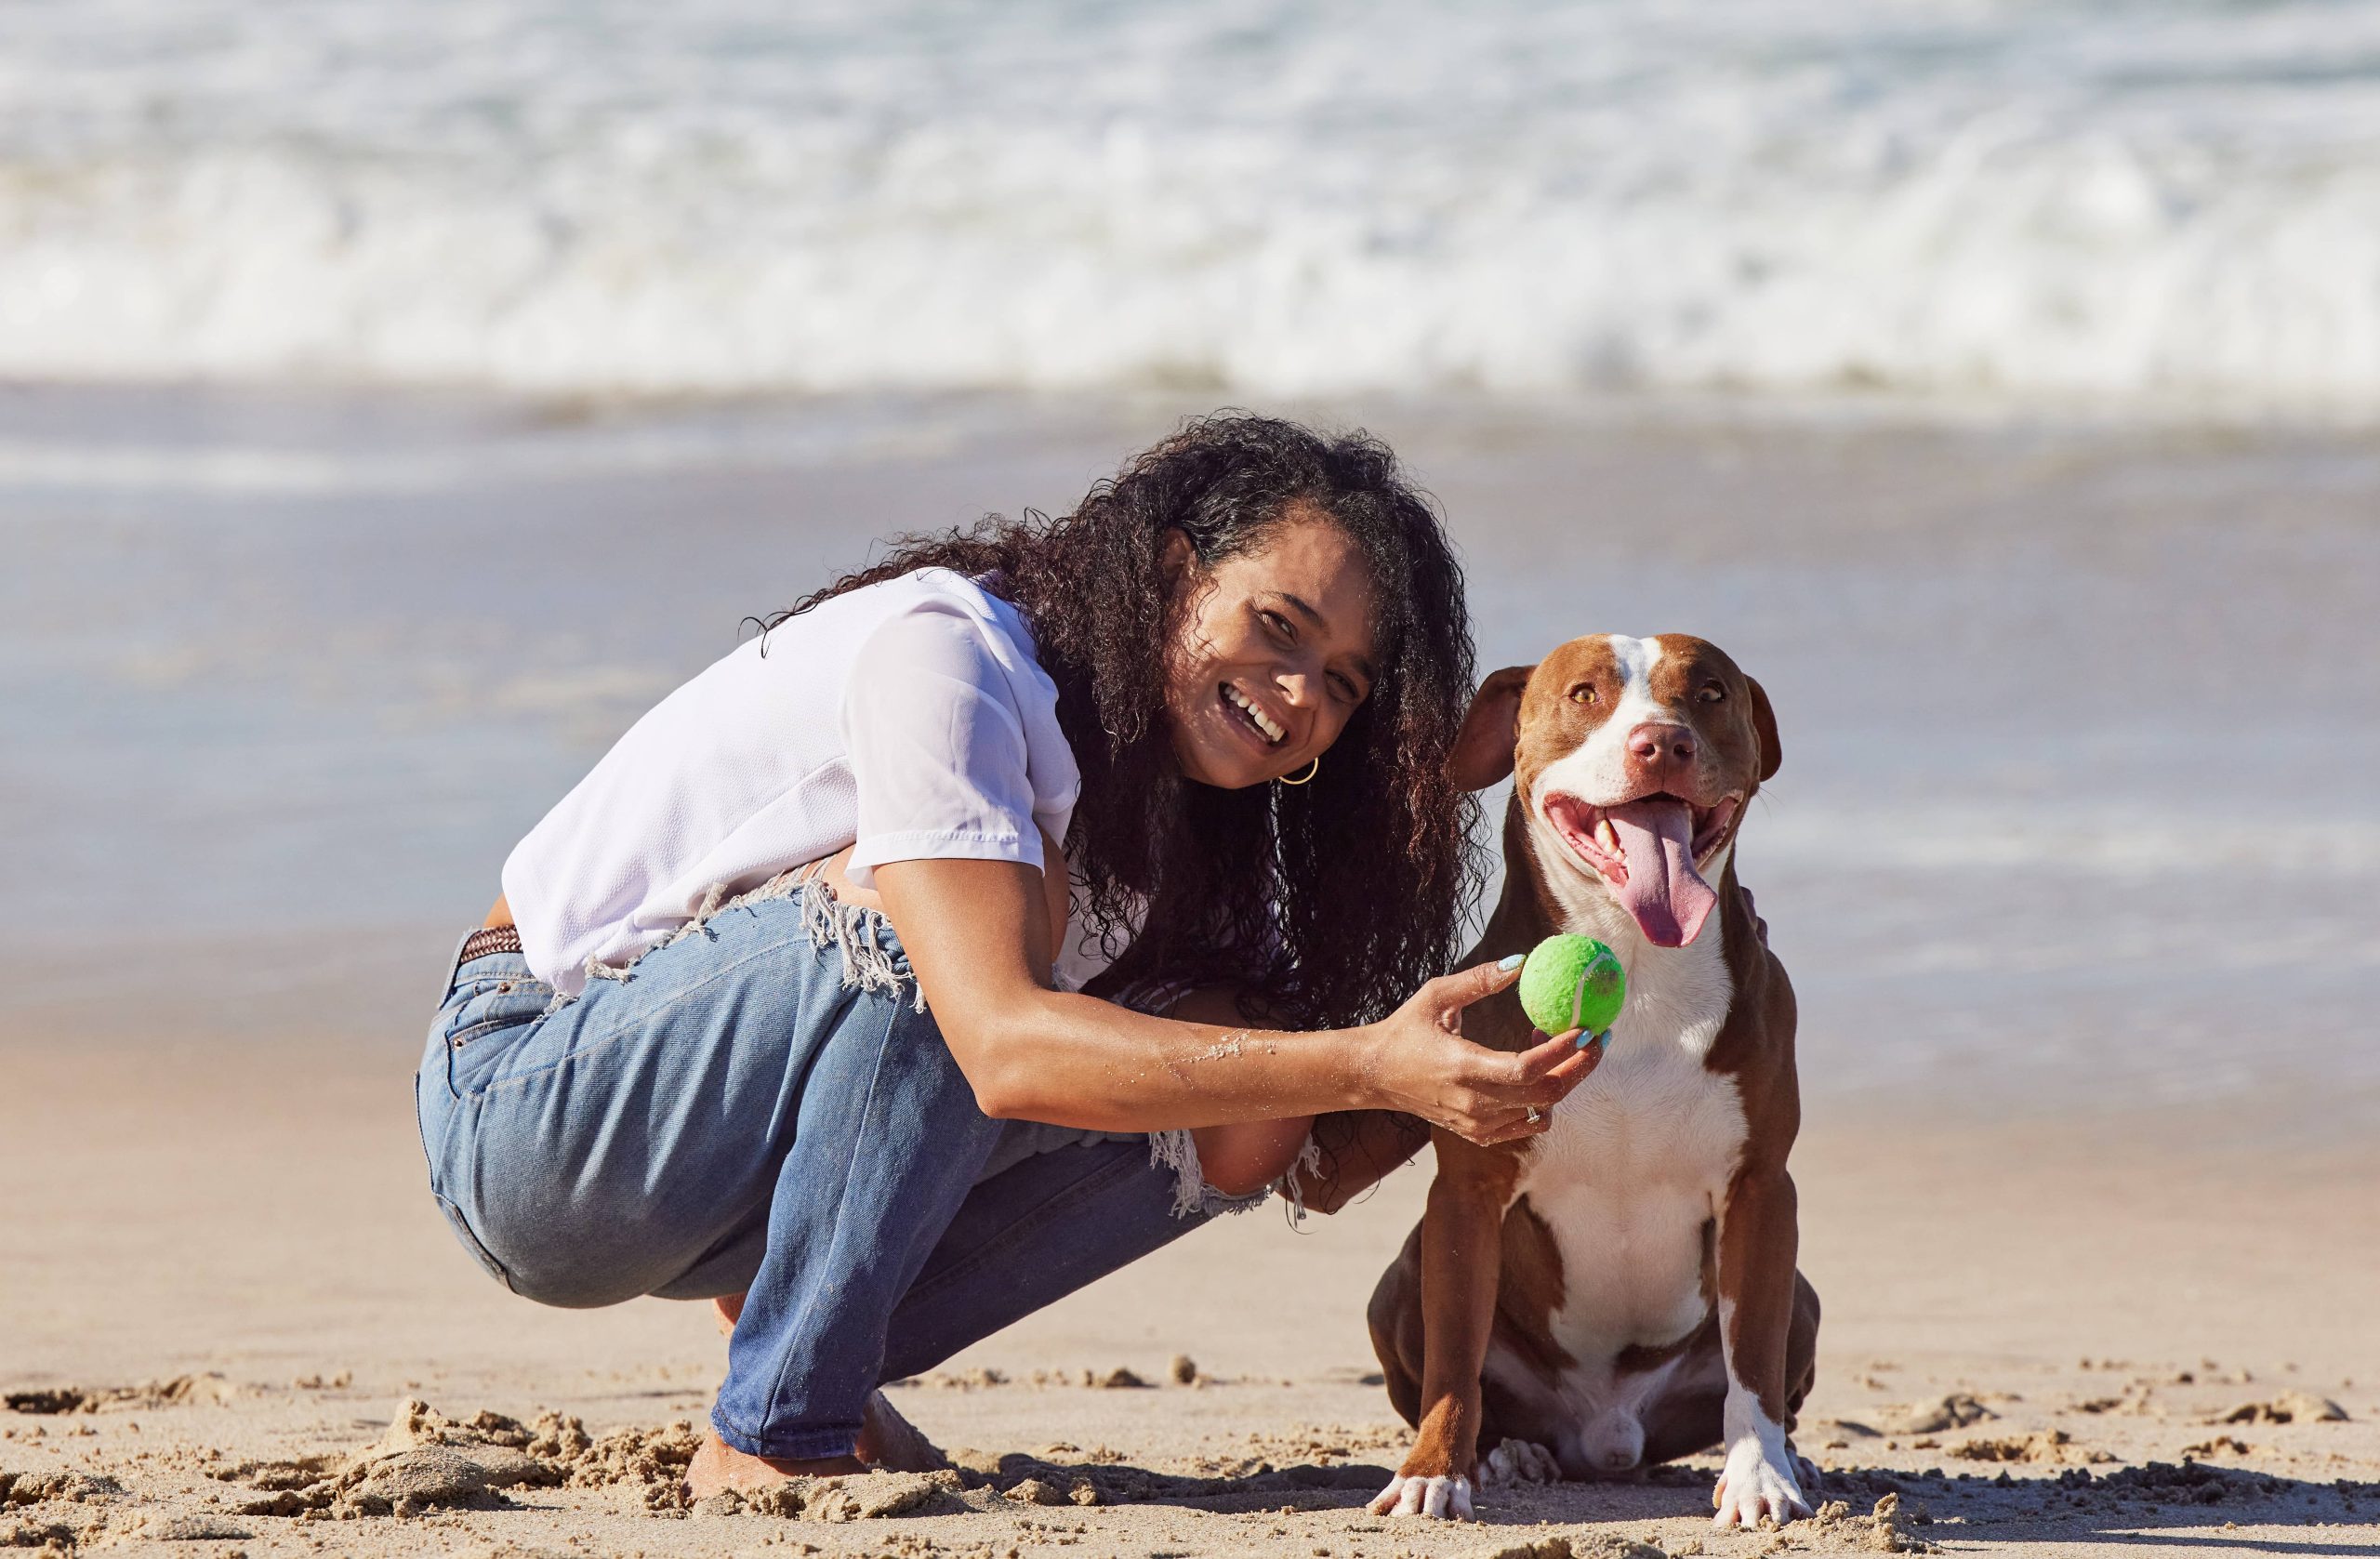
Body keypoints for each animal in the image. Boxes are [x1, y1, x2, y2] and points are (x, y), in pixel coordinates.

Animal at [1361, 638, 1818, 1532]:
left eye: (1711, 693)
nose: (1662, 743)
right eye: (1584, 694)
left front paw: (1759, 1476)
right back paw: (1508, 1453)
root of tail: (1606, 1436)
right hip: (1396, 1281)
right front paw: (1435, 1473)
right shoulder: (1466, 1192)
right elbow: (1453, 1354)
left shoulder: (1760, 1189)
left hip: (1804, 1296)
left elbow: (1753, 1356)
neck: (1637, 964)